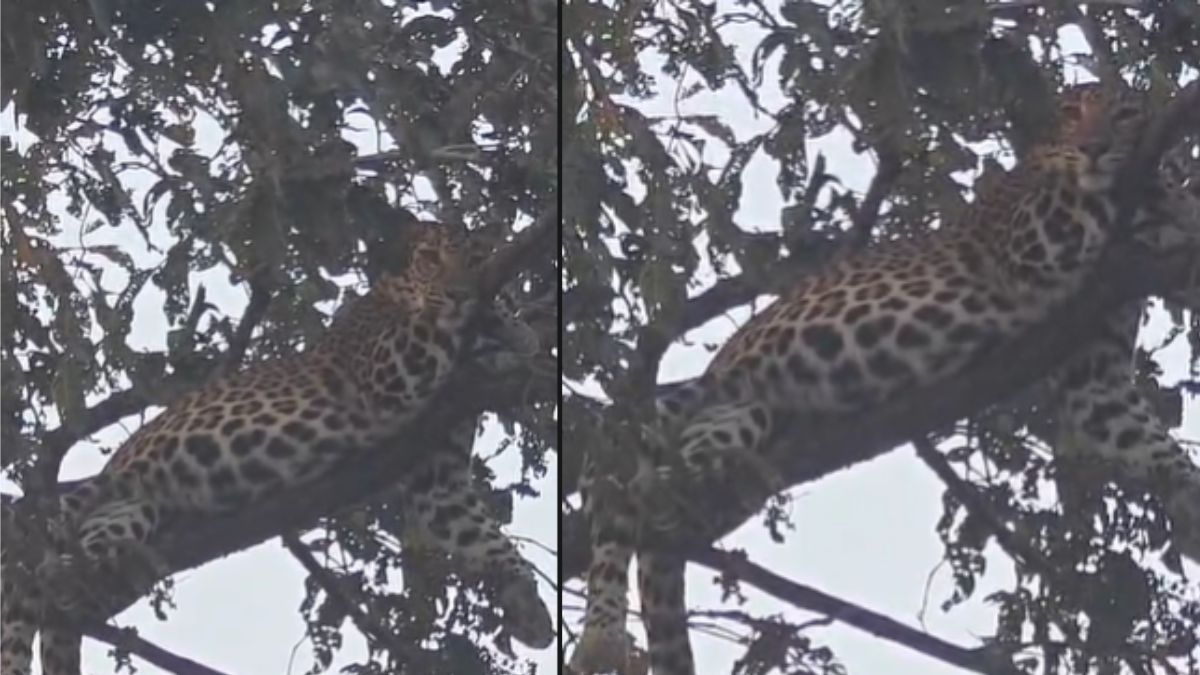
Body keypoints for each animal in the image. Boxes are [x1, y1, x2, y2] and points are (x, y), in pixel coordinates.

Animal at [0, 224, 555, 675]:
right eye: (432, 258)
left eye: (477, 256)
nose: (461, 290)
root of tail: (114, 463)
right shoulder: (387, 371)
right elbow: (442, 322)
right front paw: (506, 324)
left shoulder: (437, 476)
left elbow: (479, 531)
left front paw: (528, 605)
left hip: (122, 519)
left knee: (64, 600)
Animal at [568, 83, 1200, 675]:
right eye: (1072, 115)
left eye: (1126, 114)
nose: (1094, 147)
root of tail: (718, 368)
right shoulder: (1034, 235)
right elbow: (1118, 195)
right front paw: (1171, 197)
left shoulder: (1096, 373)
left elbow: (1142, 434)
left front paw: (1188, 496)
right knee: (620, 503)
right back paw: (601, 637)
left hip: (731, 435)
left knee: (660, 522)